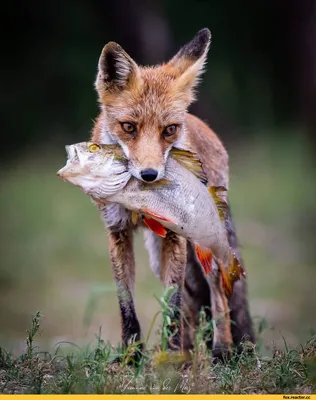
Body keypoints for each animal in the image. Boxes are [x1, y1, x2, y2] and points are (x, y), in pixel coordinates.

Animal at [90, 28, 254, 358]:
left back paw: (221, 349)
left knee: (217, 291)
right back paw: (189, 349)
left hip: (203, 243)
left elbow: (173, 304)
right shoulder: (117, 232)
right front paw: (132, 355)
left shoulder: (176, 237)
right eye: (128, 127)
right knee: (192, 303)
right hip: (157, 255)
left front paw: (173, 355)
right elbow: (127, 302)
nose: (150, 175)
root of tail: (203, 126)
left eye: (169, 130)